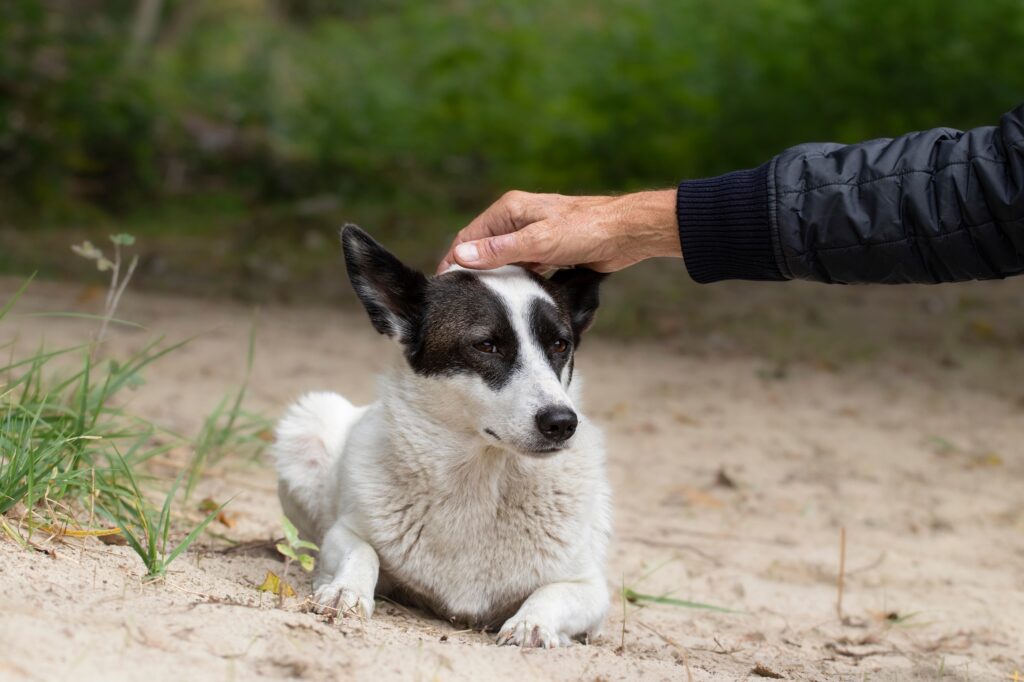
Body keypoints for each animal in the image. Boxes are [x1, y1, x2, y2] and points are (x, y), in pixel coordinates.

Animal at [270, 225, 606, 647]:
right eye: (486, 345)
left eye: (560, 345)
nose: (562, 423)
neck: (481, 481)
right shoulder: (342, 533)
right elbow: (362, 552)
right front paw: (345, 589)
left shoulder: (592, 589)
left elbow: (553, 593)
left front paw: (533, 622)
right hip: (308, 423)